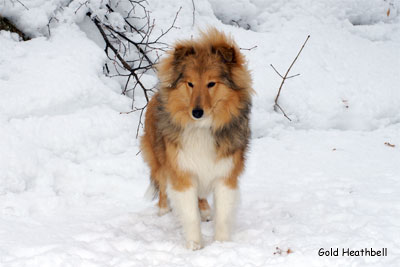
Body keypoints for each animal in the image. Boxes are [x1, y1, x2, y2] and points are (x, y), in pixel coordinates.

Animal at [142, 28, 252, 250]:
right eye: (190, 84)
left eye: (211, 84)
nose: (197, 112)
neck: (202, 127)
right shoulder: (182, 171)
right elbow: (189, 214)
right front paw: (194, 245)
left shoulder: (224, 173)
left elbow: (223, 214)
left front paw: (222, 244)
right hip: (159, 158)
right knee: (161, 184)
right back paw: (163, 209)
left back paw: (206, 210)